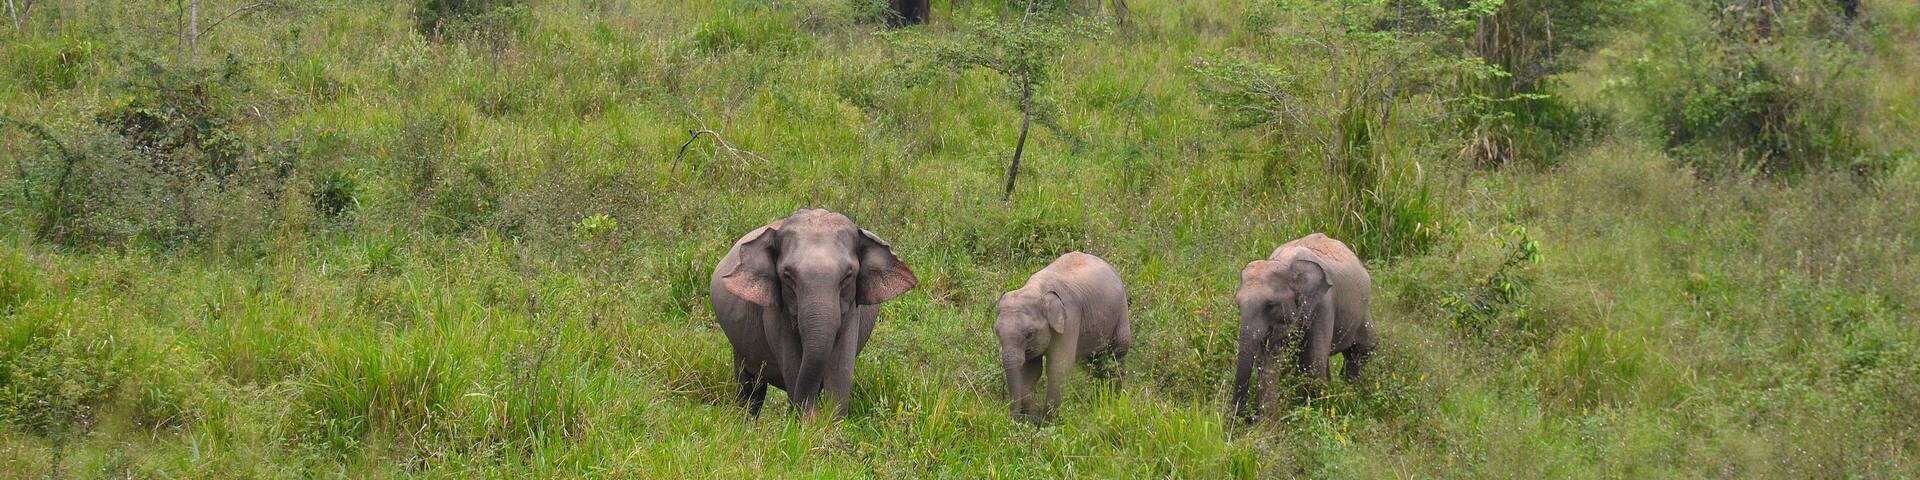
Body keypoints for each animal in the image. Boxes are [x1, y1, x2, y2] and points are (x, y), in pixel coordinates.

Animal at [709, 209, 918, 419]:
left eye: (848, 275)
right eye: (787, 276)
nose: (815, 415)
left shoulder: (852, 310)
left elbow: (840, 368)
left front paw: (831, 421)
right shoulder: (777, 314)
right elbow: (793, 366)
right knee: (750, 387)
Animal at [995, 251, 1132, 423]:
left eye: (1029, 334)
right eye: (997, 332)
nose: (1015, 420)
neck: (1036, 289)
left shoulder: (1070, 318)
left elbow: (1059, 365)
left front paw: (1047, 422)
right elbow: (1032, 369)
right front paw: (1035, 416)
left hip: (1121, 312)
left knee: (1117, 354)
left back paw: (1114, 399)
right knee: (1095, 360)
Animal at [1230, 233, 1375, 421]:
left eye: (1270, 305)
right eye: (1238, 304)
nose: (1241, 418)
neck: (1285, 264)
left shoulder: (1324, 304)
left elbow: (1313, 361)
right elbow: (1268, 362)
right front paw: (1268, 422)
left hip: (1362, 310)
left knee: (1361, 350)